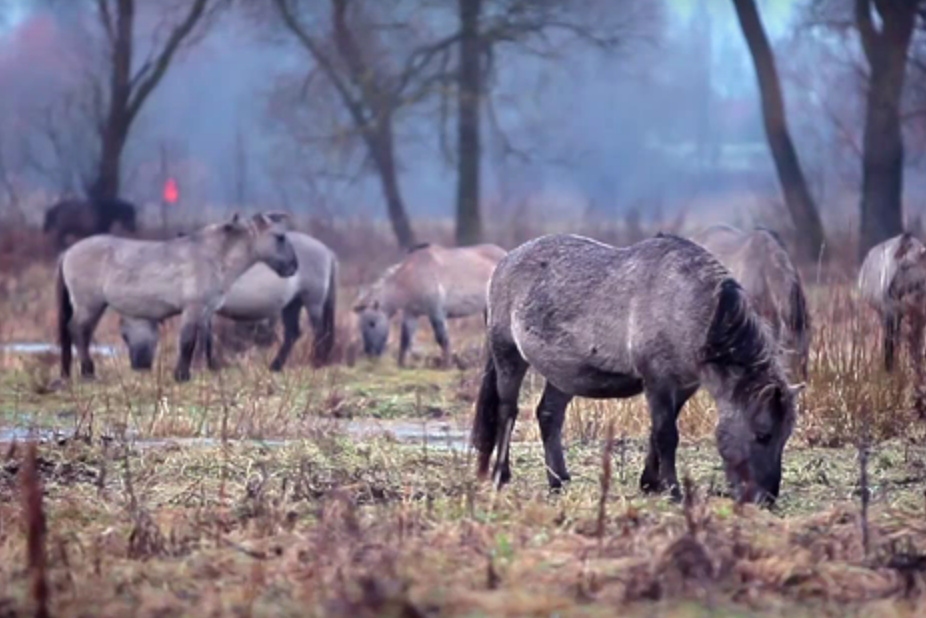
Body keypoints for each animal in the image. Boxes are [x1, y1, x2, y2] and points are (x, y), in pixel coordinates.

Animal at [57, 214, 298, 382]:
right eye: (280, 237)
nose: (294, 267)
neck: (213, 256)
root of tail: (67, 252)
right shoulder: (192, 309)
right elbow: (188, 341)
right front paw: (182, 375)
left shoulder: (205, 312)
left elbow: (202, 342)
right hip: (89, 305)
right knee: (77, 330)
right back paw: (88, 372)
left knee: (81, 333)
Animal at [119, 227, 340, 368]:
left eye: (124, 335)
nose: (138, 365)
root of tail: (327, 251)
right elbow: (206, 336)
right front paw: (210, 366)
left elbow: (202, 337)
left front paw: (202, 365)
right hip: (292, 304)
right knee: (293, 334)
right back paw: (276, 366)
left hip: (312, 302)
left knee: (319, 332)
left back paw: (315, 362)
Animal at [354, 241, 508, 366]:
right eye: (360, 327)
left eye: (372, 323)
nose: (369, 353)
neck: (411, 277)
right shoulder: (411, 314)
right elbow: (405, 340)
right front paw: (401, 365)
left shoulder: (436, 312)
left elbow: (442, 339)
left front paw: (447, 365)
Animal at [472, 231, 804, 506]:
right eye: (763, 435)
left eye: (785, 436)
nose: (766, 499)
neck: (690, 306)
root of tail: (504, 262)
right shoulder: (657, 381)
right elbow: (666, 434)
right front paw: (674, 491)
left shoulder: (683, 386)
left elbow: (657, 432)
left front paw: (650, 483)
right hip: (508, 356)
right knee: (507, 411)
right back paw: (501, 475)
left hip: (564, 375)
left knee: (549, 415)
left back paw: (558, 481)